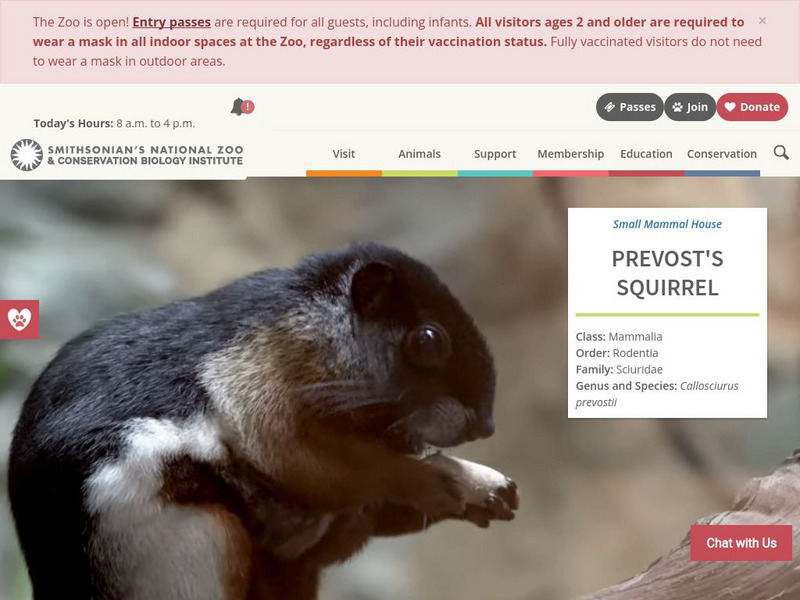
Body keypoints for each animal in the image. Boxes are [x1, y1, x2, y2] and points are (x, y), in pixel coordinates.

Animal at [8, 242, 519, 600]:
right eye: (428, 340)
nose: (487, 425)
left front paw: (487, 493)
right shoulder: (267, 412)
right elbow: (348, 469)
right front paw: (444, 481)